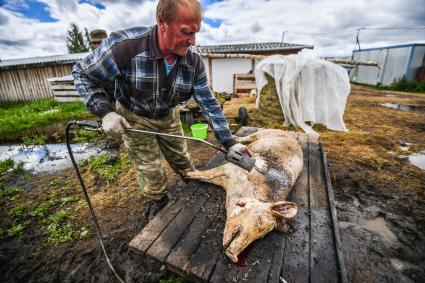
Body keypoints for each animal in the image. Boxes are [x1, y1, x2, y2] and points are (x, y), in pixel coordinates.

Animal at [185, 130, 302, 262]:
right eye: (258, 221)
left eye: (261, 236)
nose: (234, 256)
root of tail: (288, 134)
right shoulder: (232, 168)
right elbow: (209, 173)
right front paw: (187, 173)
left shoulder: (225, 180)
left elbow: (208, 177)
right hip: (263, 132)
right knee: (246, 138)